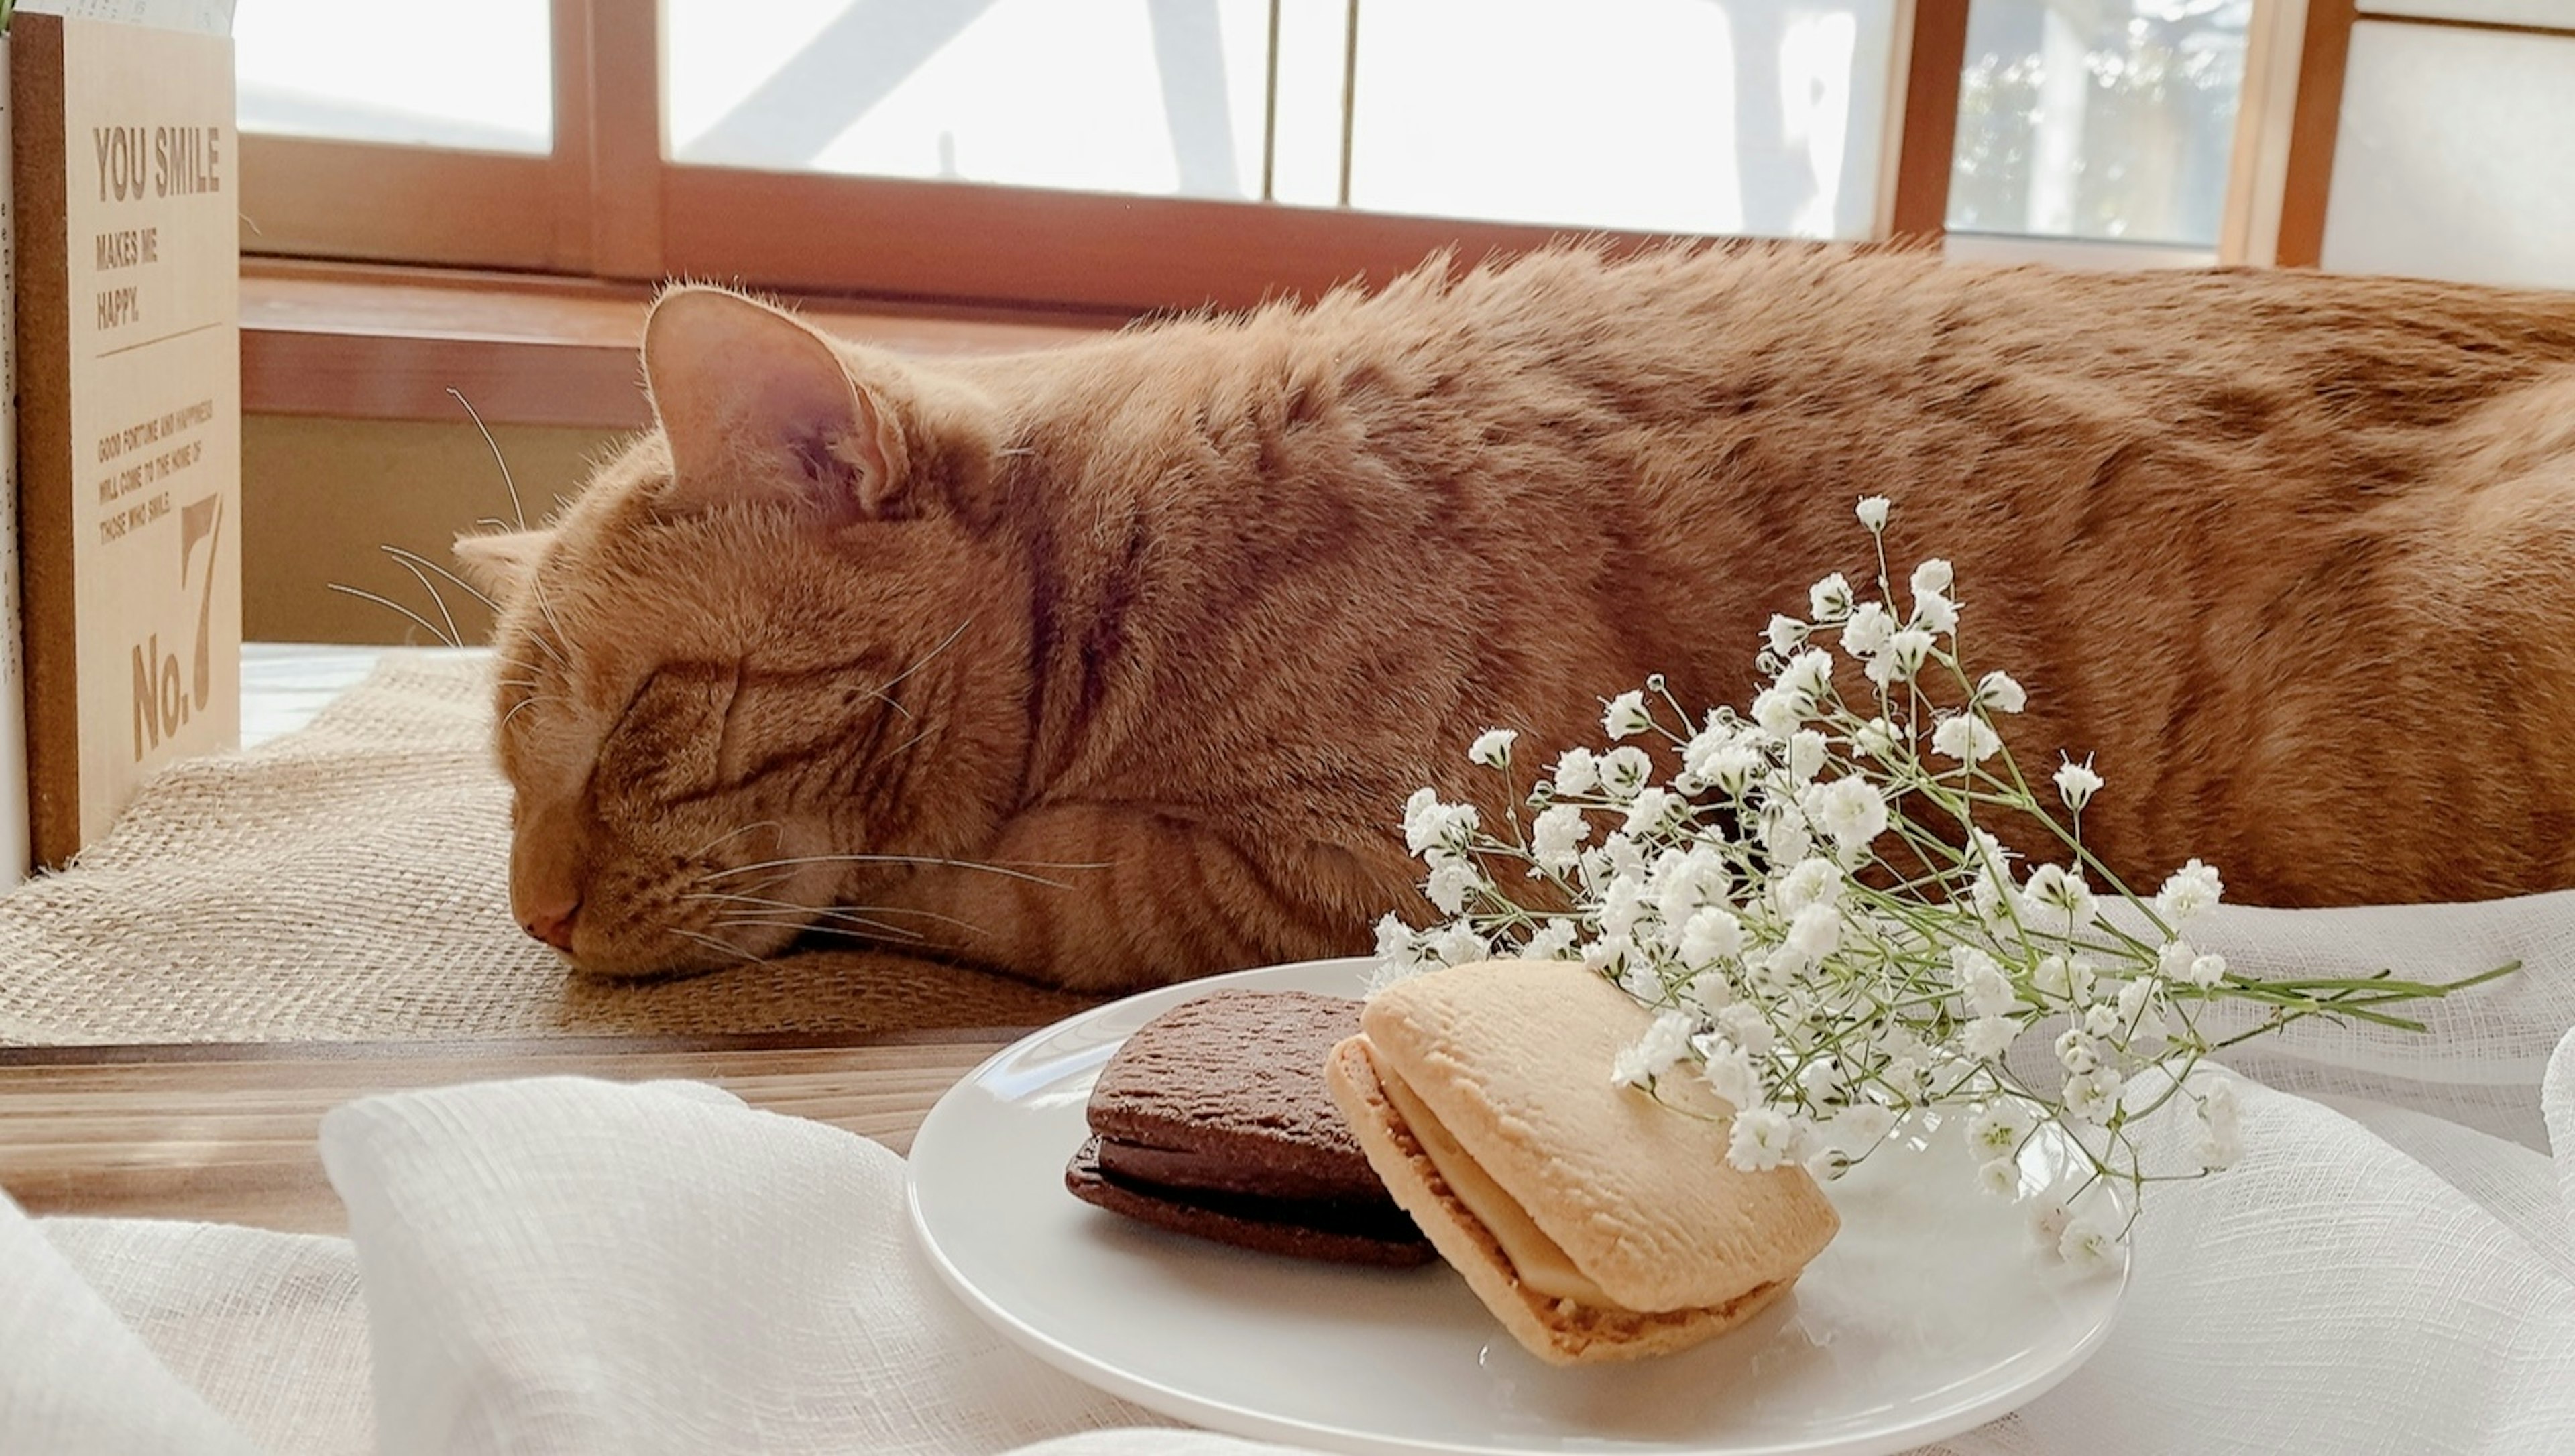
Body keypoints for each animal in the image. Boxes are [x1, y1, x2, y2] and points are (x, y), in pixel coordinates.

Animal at [453, 245, 2575, 993]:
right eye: (507, 786)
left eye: (633, 730)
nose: (533, 916)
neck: (1128, 562)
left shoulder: (1365, 870)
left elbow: (1004, 877)